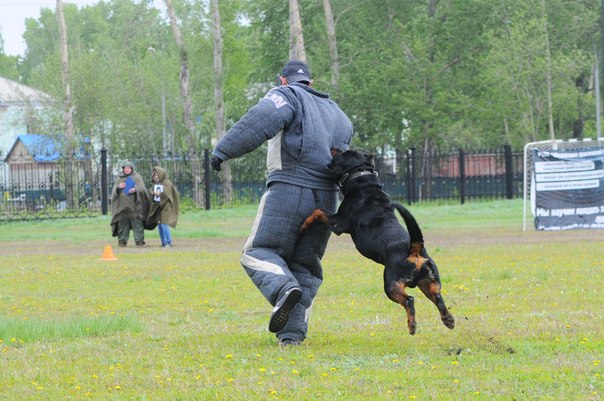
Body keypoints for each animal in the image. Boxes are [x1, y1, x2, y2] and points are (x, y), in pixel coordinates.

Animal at [301, 149, 454, 335]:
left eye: (342, 154)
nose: (336, 148)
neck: (364, 182)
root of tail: (414, 250)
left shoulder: (338, 223)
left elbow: (317, 212)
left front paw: (303, 225)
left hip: (391, 284)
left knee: (409, 300)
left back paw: (412, 326)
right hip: (429, 282)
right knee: (439, 299)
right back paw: (448, 320)